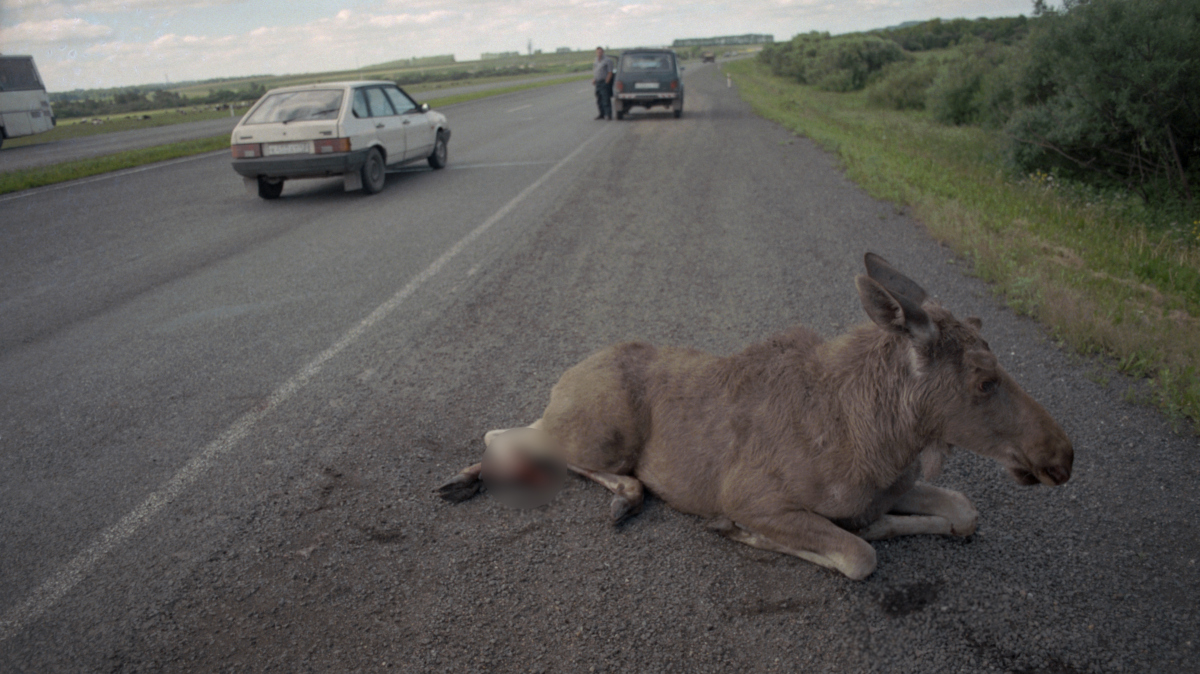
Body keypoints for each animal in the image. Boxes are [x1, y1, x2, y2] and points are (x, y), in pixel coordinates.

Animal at [436, 251, 1075, 578]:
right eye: (985, 380)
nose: (1062, 456)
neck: (885, 441)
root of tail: (566, 375)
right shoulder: (754, 497)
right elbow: (858, 556)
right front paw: (741, 531)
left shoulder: (894, 488)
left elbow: (963, 512)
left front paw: (883, 523)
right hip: (598, 435)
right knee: (507, 431)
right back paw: (481, 477)